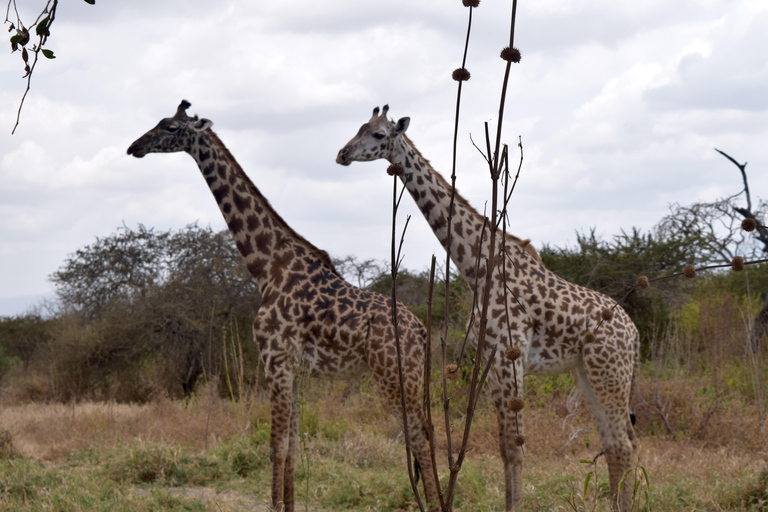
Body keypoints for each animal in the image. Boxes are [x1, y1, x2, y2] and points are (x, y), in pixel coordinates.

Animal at [129, 101, 440, 512]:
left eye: (169, 127)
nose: (134, 146)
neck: (267, 267)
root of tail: (421, 330)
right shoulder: (291, 368)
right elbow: (292, 445)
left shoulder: (274, 360)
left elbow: (275, 445)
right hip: (411, 376)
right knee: (428, 433)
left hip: (393, 373)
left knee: (418, 435)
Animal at [340, 105, 640, 512]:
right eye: (359, 127)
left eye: (376, 135)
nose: (342, 154)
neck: (477, 269)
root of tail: (635, 335)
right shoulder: (491, 363)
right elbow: (503, 448)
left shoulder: (510, 359)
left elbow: (515, 448)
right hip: (588, 373)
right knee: (615, 442)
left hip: (609, 371)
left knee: (622, 444)